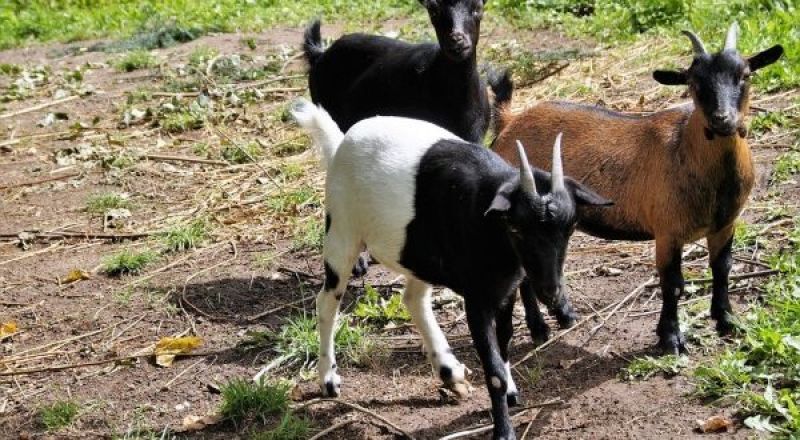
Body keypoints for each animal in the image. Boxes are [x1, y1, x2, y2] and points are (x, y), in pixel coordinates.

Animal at [291, 98, 610, 440]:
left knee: (413, 299)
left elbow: (505, 342)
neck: (488, 217)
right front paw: (503, 430)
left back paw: (448, 370)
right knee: (327, 301)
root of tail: (342, 142)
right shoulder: (478, 298)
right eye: (516, 228)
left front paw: (511, 392)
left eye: (571, 226)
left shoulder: (505, 290)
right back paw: (329, 379)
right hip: (342, 231)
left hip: (416, 256)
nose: (551, 290)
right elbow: (493, 370)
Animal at [492, 22, 784, 354]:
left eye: (745, 75)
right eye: (694, 81)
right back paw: (541, 328)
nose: (723, 119)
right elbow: (673, 284)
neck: (685, 148)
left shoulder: (725, 224)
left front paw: (727, 321)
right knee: (523, 273)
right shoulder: (668, 232)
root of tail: (509, 122)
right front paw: (671, 339)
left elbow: (722, 268)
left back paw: (562, 316)